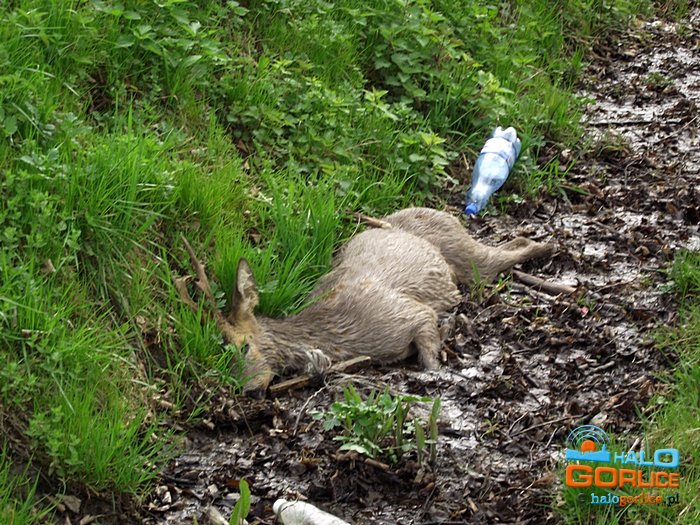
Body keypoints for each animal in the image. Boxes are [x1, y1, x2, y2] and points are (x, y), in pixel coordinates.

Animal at [175, 207, 554, 397]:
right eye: (218, 356)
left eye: (243, 347)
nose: (249, 390)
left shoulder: (411, 313)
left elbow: (430, 361)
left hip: (464, 253)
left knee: (513, 249)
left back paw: (552, 249)